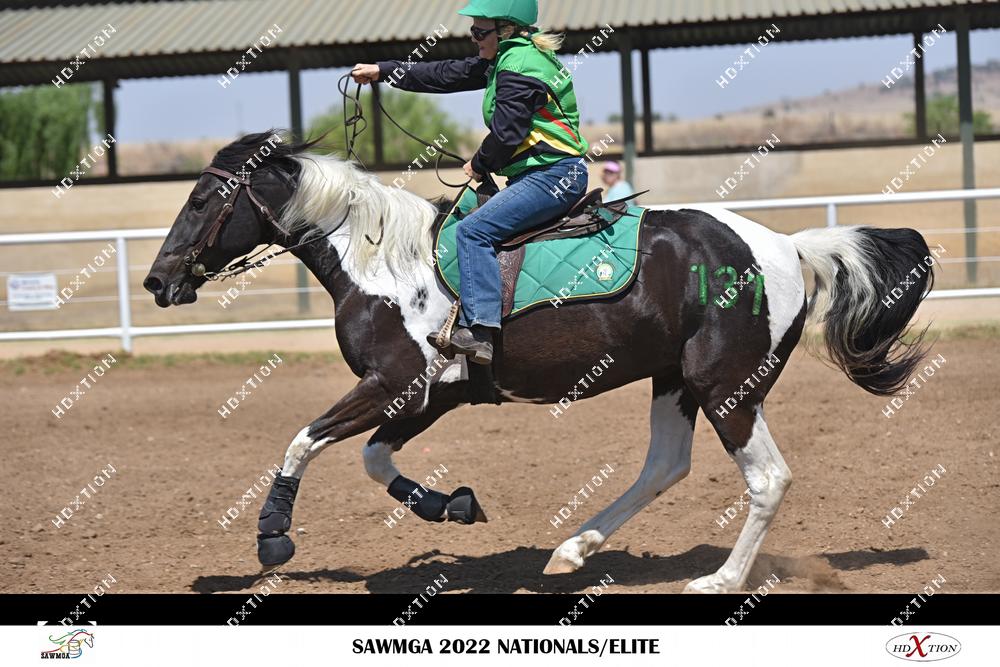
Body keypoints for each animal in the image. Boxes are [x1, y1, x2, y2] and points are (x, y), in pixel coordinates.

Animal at [143, 131, 933, 593]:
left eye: (202, 197)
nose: (157, 280)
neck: (384, 263)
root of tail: (790, 248)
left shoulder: (394, 383)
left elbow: (303, 439)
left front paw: (273, 534)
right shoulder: (427, 394)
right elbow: (372, 458)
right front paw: (451, 505)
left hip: (726, 386)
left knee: (767, 478)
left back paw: (717, 580)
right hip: (675, 380)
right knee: (665, 465)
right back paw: (573, 550)